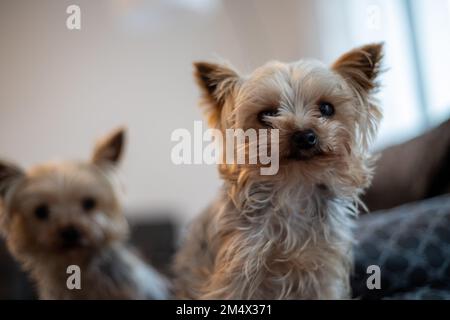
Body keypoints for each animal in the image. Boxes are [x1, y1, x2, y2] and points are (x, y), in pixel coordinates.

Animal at [174, 43, 384, 298]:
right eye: (267, 114)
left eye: (326, 108)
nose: (304, 136)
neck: (293, 186)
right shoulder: (237, 269)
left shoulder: (324, 267)